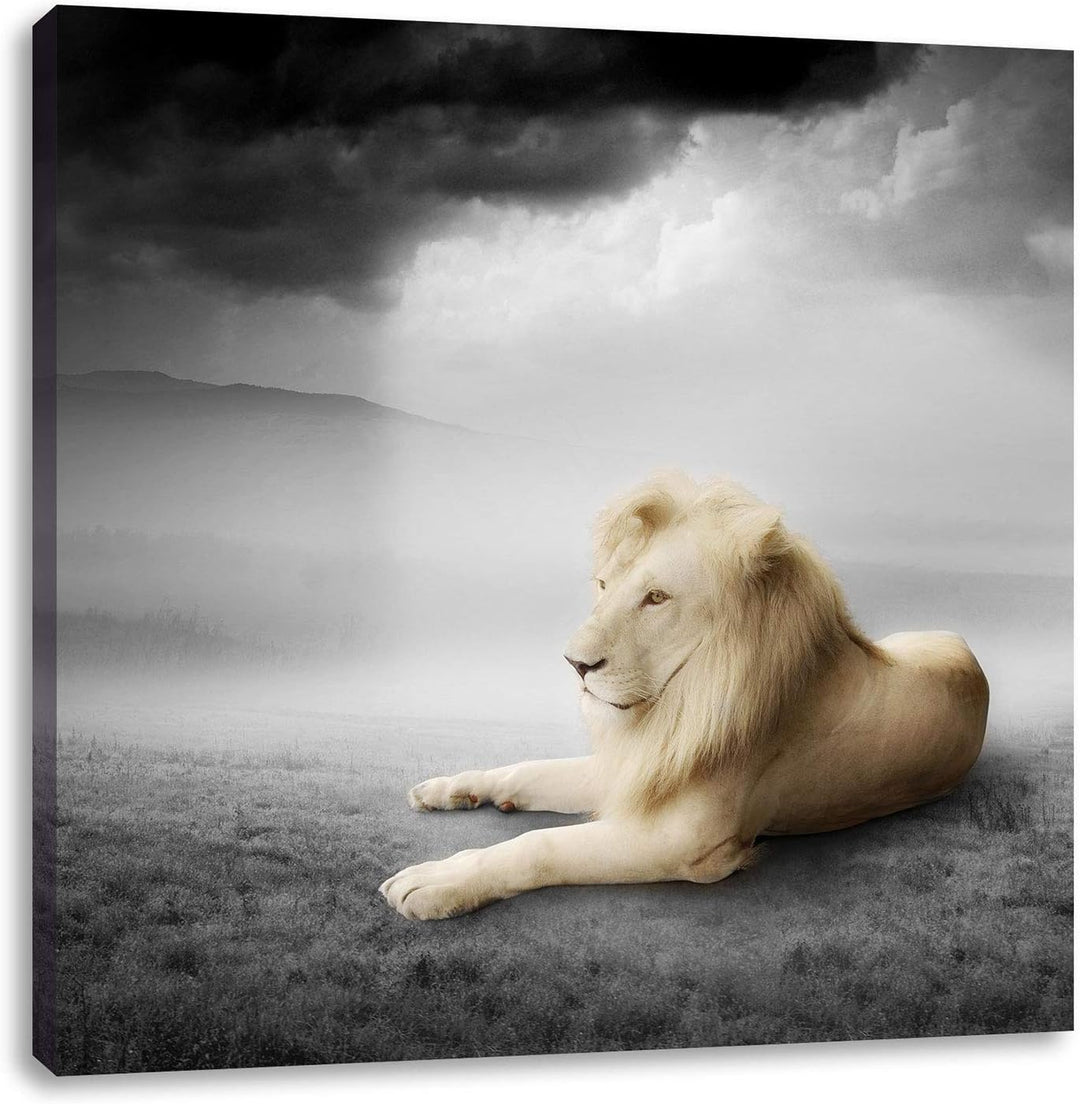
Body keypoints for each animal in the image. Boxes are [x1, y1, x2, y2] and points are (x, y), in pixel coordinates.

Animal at [380, 472, 990, 920]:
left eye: (656, 597)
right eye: (604, 585)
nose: (575, 664)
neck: (676, 706)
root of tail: (966, 647)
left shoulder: (687, 841)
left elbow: (541, 845)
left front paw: (440, 879)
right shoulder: (642, 766)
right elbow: (530, 769)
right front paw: (455, 788)